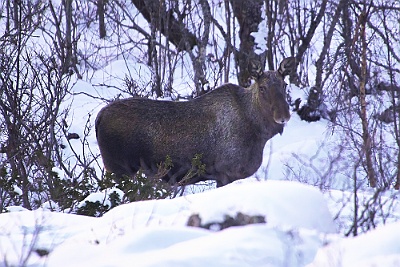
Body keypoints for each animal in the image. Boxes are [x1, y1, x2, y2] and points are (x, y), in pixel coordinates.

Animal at [95, 58, 296, 188]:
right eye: (262, 88)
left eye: (285, 85)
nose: (283, 116)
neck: (258, 131)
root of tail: (98, 118)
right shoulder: (226, 173)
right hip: (119, 169)